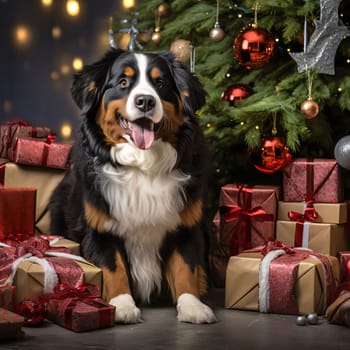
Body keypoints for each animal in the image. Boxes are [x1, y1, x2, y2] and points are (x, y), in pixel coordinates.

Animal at [49, 47, 216, 324]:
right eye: (123, 82)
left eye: (160, 84)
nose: (145, 101)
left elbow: (186, 268)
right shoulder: (100, 227)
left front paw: (193, 306)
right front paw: (122, 306)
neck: (142, 166)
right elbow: (113, 268)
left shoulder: (186, 225)